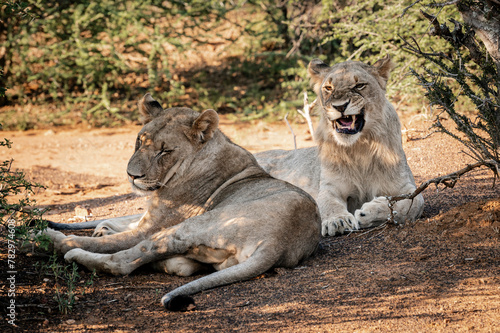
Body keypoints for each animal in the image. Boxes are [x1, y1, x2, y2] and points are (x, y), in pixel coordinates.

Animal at [43, 94, 320, 310]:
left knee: (123, 261)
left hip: (191, 226)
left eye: (165, 151)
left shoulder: (154, 226)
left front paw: (53, 234)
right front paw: (98, 227)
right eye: (140, 141)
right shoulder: (151, 216)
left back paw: (67, 249)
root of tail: (278, 243)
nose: (132, 176)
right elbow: (119, 218)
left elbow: (111, 240)